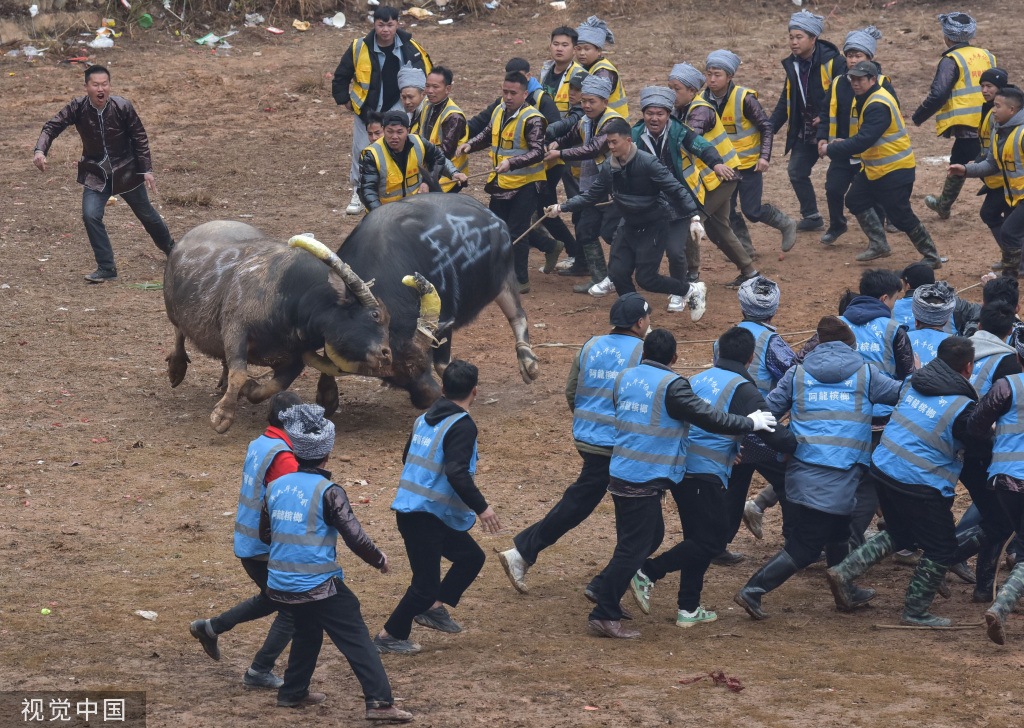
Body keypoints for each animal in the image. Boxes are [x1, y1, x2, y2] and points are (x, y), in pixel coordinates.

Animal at [163, 222, 403, 432]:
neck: (293, 300)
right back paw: (176, 367)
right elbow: (239, 373)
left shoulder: (297, 356)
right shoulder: (236, 329)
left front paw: (249, 388)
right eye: (375, 315)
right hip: (173, 308)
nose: (386, 355)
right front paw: (223, 415)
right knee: (178, 332)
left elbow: (273, 387)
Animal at [315, 190, 540, 407]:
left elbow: (442, 365)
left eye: (424, 364)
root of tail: (493, 216)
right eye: (395, 378)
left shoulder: (445, 318)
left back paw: (529, 364)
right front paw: (327, 395)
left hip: (504, 279)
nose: (429, 398)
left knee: (518, 316)